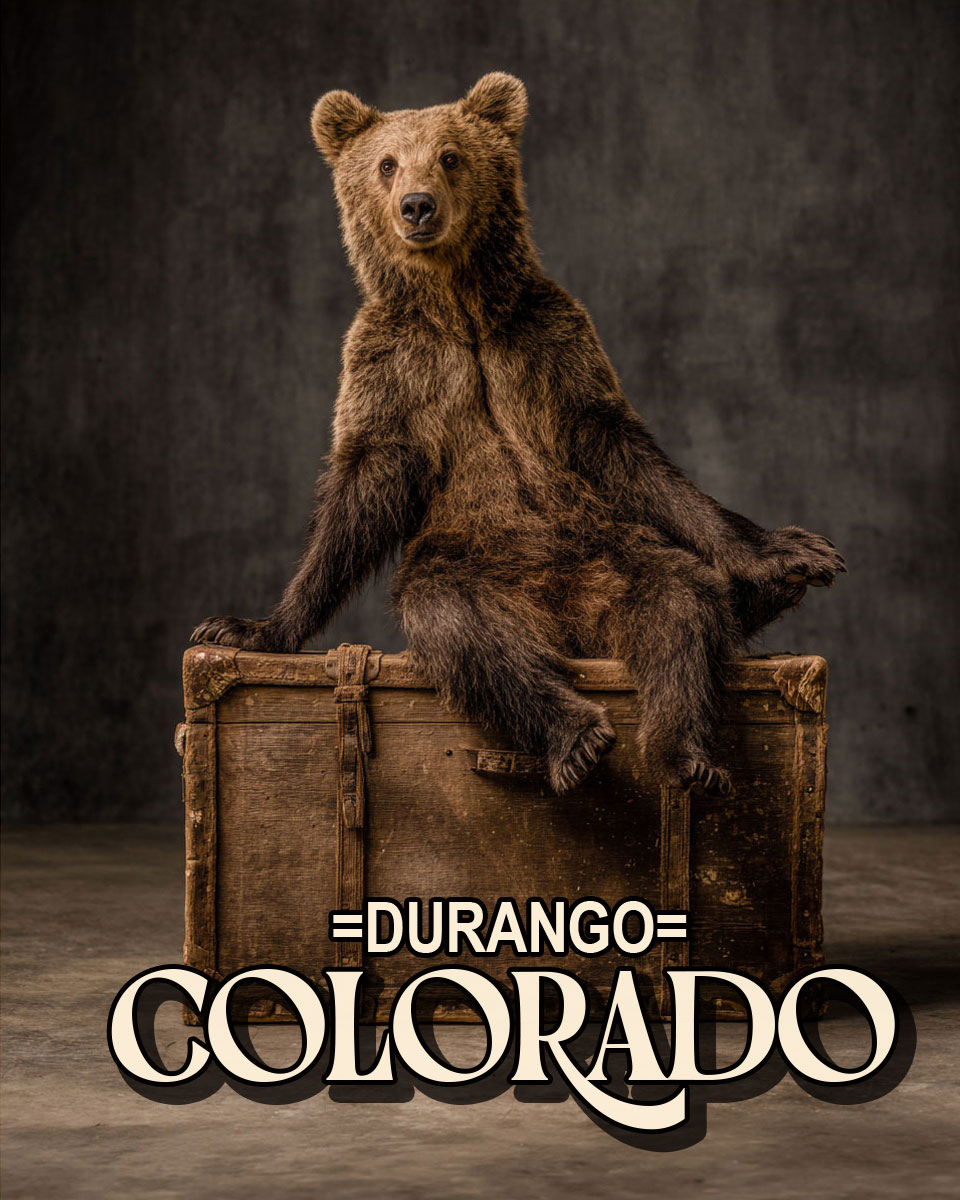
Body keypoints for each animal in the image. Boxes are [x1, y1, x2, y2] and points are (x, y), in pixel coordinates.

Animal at [192, 73, 844, 797]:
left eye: (450, 156)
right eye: (387, 163)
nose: (416, 205)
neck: (460, 311)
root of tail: (565, 623)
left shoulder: (550, 343)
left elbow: (622, 448)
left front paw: (786, 551)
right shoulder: (391, 368)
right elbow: (363, 487)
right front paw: (254, 627)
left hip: (612, 552)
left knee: (680, 604)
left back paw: (687, 750)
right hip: (470, 562)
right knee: (461, 628)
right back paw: (578, 736)